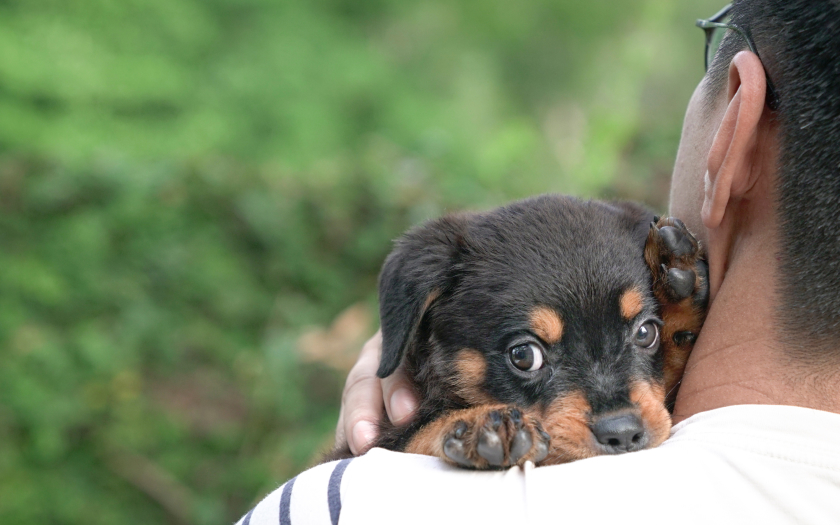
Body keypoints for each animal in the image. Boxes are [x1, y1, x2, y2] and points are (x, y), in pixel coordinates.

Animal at [332, 194, 704, 468]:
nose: (623, 433)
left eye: (645, 333)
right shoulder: (373, 442)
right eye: (524, 355)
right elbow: (413, 435)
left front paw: (677, 279)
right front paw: (483, 424)